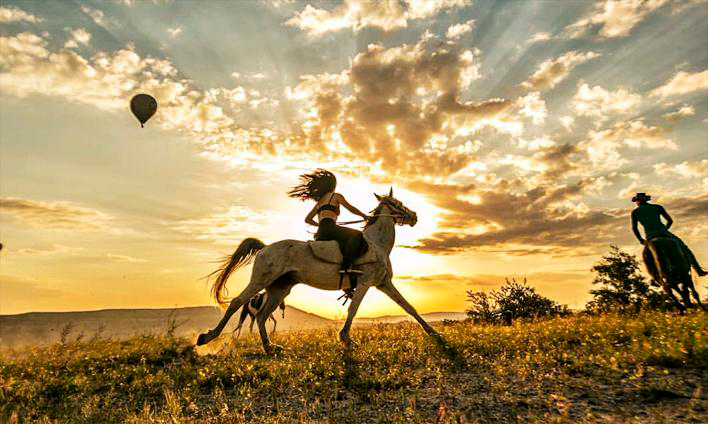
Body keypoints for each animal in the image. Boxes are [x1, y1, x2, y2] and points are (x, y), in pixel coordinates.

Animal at [198, 190, 436, 354]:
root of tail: (265, 247)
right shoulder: (366, 282)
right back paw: (206, 338)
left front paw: (434, 334)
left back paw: (270, 348)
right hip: (261, 281)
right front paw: (345, 338)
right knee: (237, 303)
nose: (414, 216)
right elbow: (353, 310)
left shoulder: (384, 283)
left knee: (262, 316)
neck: (376, 244)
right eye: (398, 204)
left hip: (279, 289)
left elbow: (409, 307)